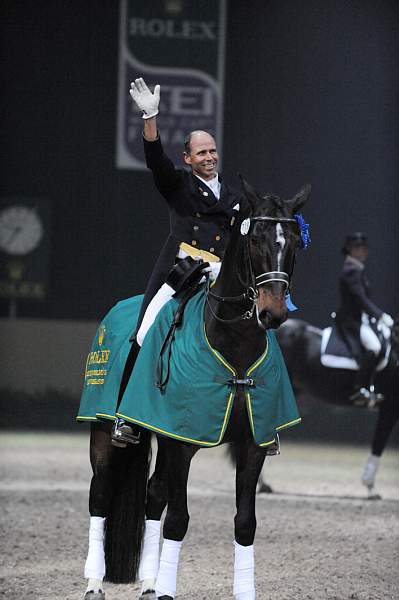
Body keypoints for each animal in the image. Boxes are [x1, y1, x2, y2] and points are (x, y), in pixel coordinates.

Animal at [83, 179, 310, 600]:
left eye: (293, 244)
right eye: (255, 239)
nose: (272, 313)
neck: (233, 344)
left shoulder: (251, 445)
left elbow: (245, 522)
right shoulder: (182, 442)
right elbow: (178, 520)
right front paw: (167, 591)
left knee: (153, 496)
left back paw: (149, 583)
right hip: (104, 429)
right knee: (101, 494)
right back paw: (94, 583)